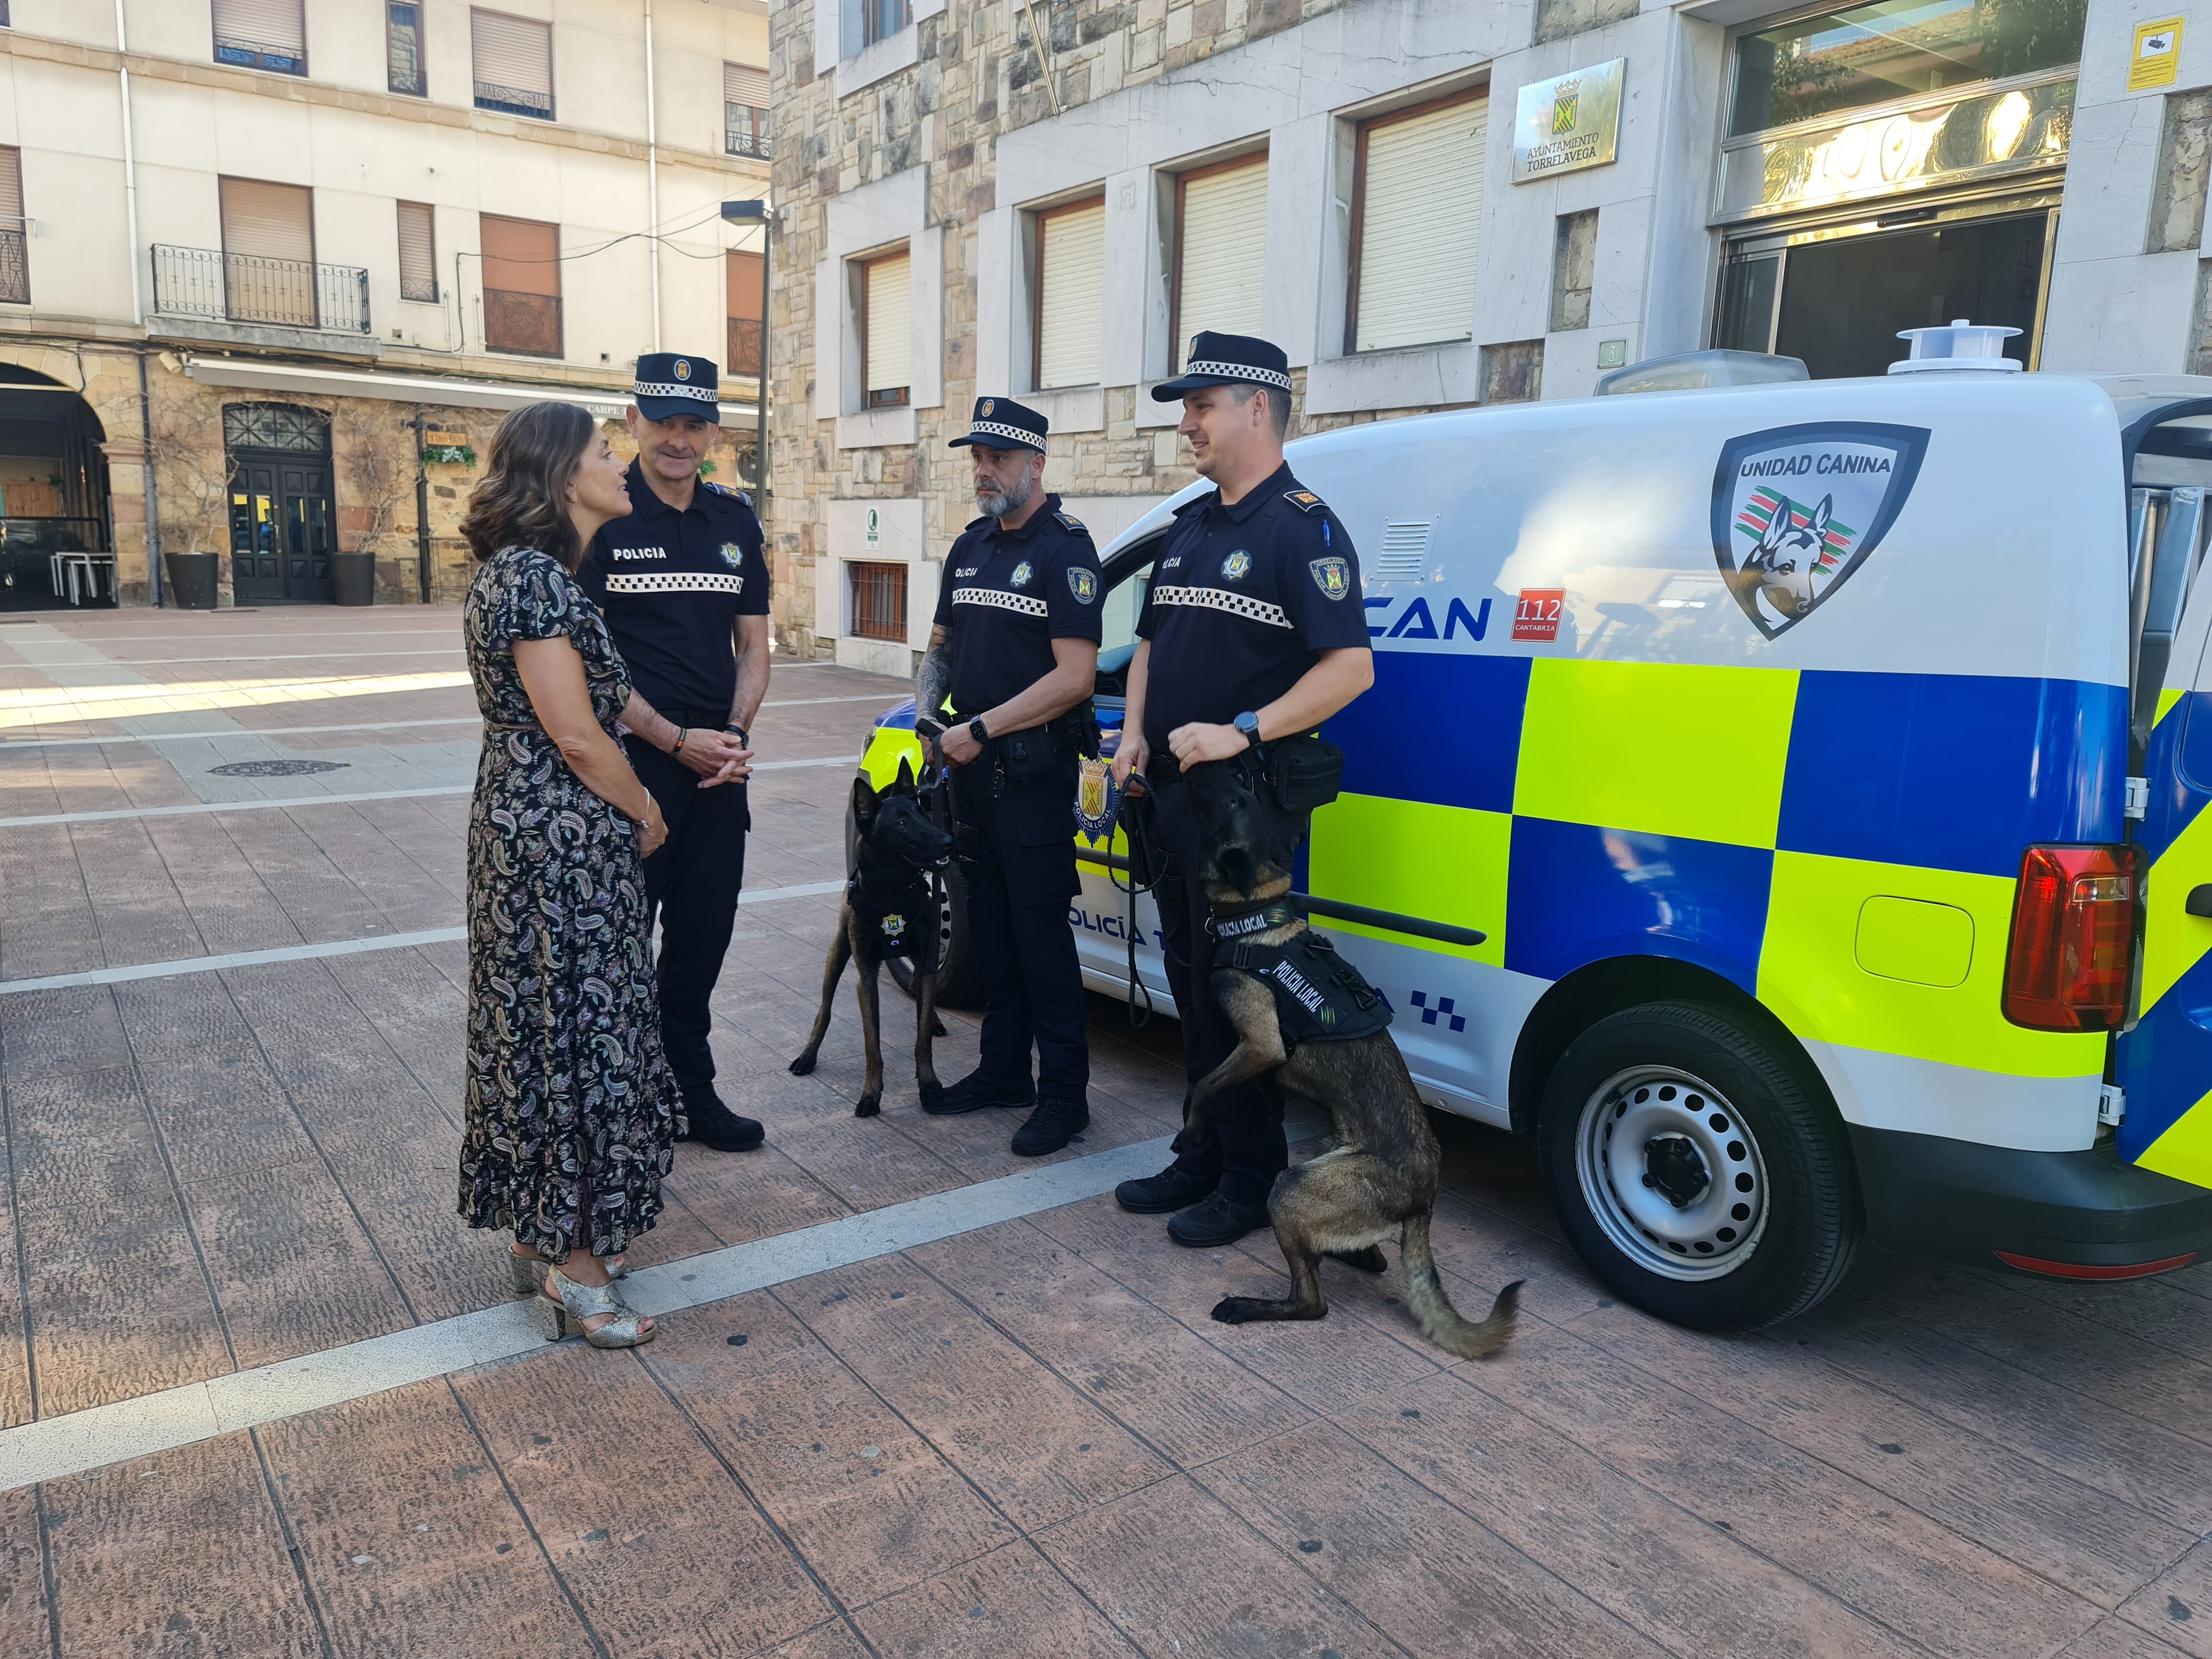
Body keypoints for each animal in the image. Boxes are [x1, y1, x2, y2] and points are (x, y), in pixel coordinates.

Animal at [787, 765, 951, 1124]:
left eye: (922, 813)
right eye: (901, 823)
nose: (949, 839)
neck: (893, 894)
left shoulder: (927, 964)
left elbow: (922, 1039)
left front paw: (929, 1084)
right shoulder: (867, 979)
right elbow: (872, 1047)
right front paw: (871, 1095)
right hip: (838, 953)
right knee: (824, 1011)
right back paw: (807, 1055)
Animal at [1177, 761, 1522, 1354]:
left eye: (1234, 799)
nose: (1202, 760)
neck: (1257, 914)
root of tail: (1424, 1199)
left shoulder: (1260, 1045)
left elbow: (1204, 1086)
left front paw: (1191, 1132)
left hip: (1293, 1189)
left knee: (1313, 1301)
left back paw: (1250, 1306)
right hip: (1326, 1160)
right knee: (1371, 1257)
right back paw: (1354, 1253)